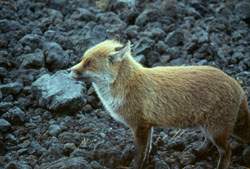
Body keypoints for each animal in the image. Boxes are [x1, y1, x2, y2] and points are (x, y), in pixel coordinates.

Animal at [69, 40, 250, 169]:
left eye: (89, 63)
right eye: (82, 59)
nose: (69, 70)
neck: (126, 86)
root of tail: (236, 84)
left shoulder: (139, 126)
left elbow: (140, 153)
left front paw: (136, 166)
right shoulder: (148, 126)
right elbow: (147, 149)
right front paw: (148, 162)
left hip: (216, 131)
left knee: (227, 152)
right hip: (208, 128)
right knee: (211, 144)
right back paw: (198, 152)